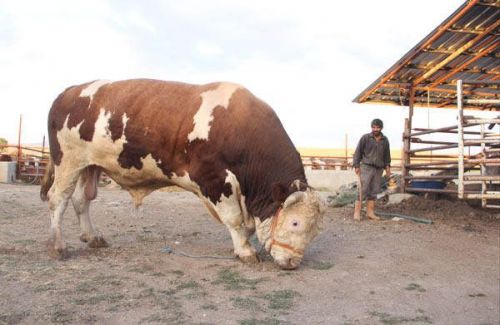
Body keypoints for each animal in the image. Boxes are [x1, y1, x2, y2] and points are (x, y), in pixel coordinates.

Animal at [40, 78, 324, 268]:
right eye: (295, 223)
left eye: (315, 230)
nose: (292, 262)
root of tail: (69, 91)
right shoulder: (215, 180)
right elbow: (234, 220)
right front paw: (244, 251)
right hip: (68, 161)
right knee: (58, 199)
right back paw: (57, 246)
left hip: (89, 166)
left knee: (81, 200)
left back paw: (92, 237)